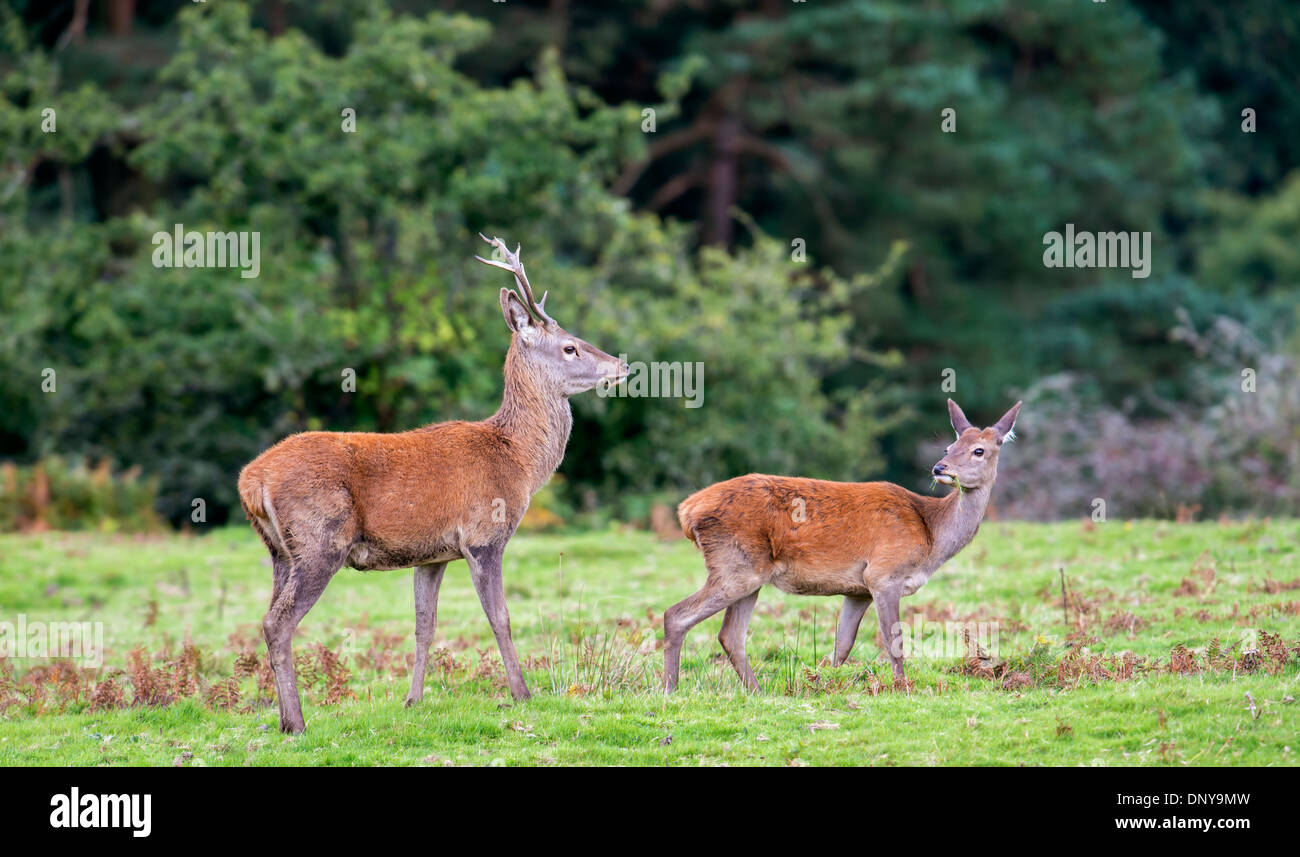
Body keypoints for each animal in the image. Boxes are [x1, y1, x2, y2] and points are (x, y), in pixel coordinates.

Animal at [244, 237, 634, 733]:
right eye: (569, 347)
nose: (621, 364)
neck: (518, 461)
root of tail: (251, 480)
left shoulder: (432, 554)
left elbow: (423, 624)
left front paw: (412, 700)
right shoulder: (484, 536)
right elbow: (501, 617)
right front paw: (522, 694)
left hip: (279, 551)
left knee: (269, 616)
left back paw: (282, 718)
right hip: (320, 540)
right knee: (278, 622)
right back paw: (295, 722)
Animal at [665, 400, 1019, 691]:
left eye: (979, 450)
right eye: (949, 445)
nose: (939, 468)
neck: (930, 534)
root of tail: (686, 511)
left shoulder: (858, 589)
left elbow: (843, 645)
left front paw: (824, 683)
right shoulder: (884, 573)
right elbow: (894, 641)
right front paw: (902, 688)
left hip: (750, 575)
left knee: (730, 635)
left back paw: (756, 691)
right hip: (736, 565)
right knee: (676, 615)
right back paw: (671, 689)